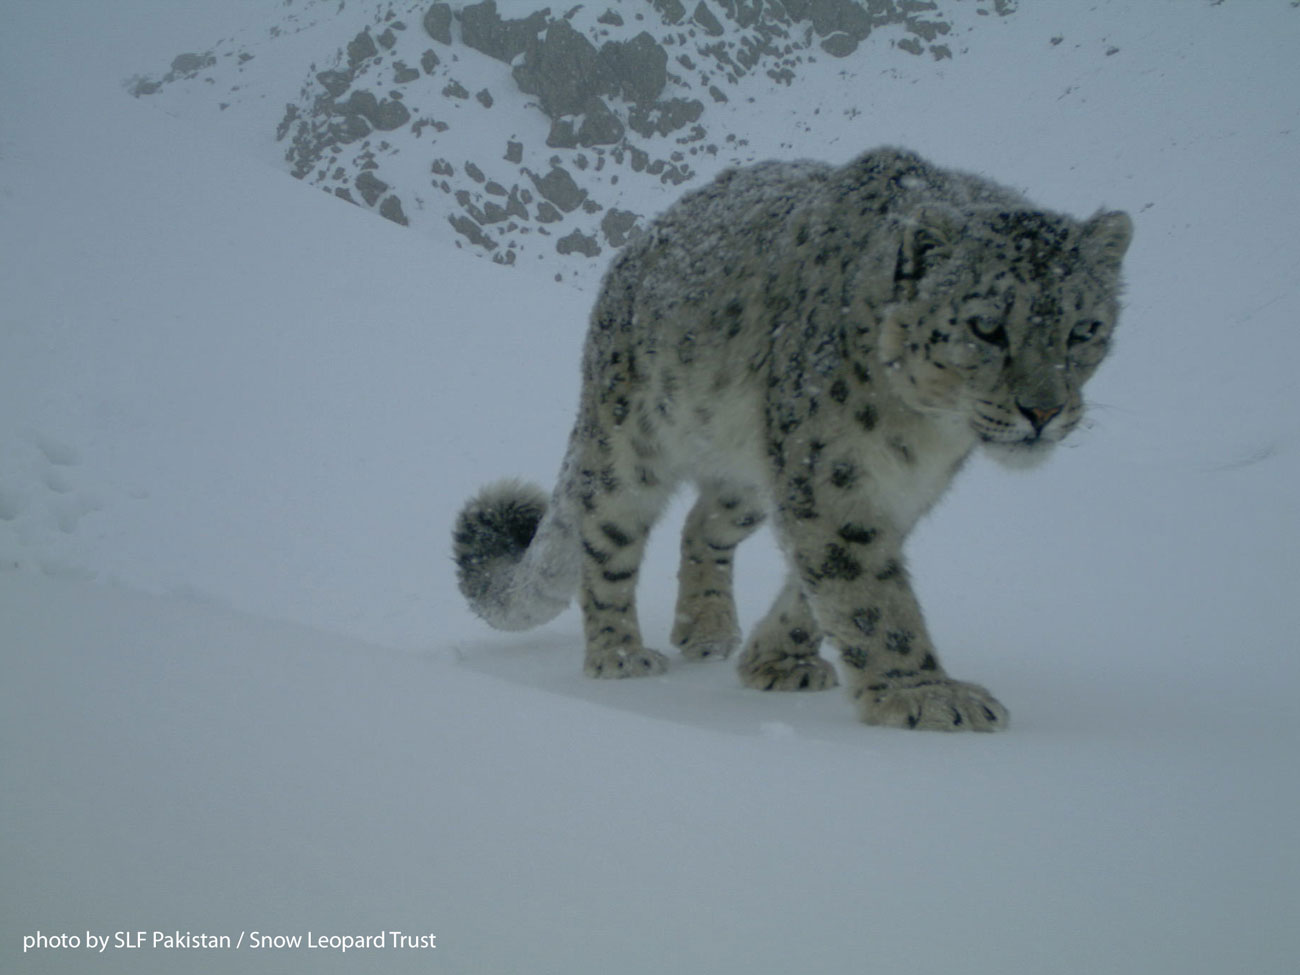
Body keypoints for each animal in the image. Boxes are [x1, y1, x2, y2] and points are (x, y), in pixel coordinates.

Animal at [454, 146, 1128, 733]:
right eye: (987, 326)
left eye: (1085, 329)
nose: (1043, 410)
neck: (922, 432)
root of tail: (633, 254)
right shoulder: (831, 473)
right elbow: (866, 589)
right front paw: (925, 694)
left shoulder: (898, 491)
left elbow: (823, 583)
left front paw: (777, 659)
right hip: (629, 439)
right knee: (607, 535)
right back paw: (620, 655)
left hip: (750, 474)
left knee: (702, 523)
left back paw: (707, 630)